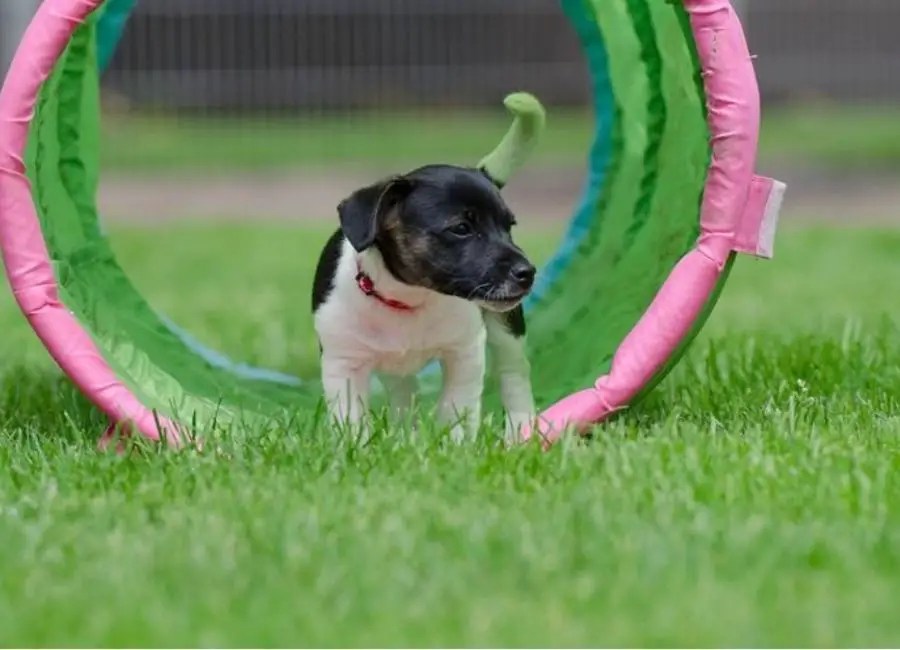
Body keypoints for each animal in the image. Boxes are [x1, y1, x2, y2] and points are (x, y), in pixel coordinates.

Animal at [312, 162, 536, 440]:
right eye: (461, 228)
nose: (528, 272)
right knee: (404, 391)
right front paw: (355, 446)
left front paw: (454, 443)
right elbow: (350, 418)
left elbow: (456, 406)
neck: (409, 297)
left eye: (509, 227)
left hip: (507, 331)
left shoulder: (464, 352)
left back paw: (520, 431)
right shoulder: (343, 364)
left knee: (514, 374)